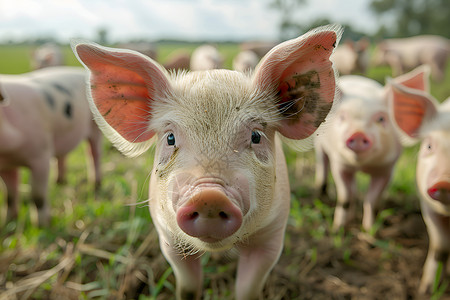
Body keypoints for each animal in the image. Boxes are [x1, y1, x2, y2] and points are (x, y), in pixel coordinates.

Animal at [0, 65, 102, 225]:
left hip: (95, 126)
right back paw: (59, 182)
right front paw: (8, 222)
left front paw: (42, 225)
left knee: (93, 153)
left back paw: (95, 185)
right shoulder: (6, 166)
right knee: (63, 156)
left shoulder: (41, 156)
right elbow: (9, 197)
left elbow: (38, 196)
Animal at [72, 24, 342, 300]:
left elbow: (248, 289)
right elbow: (189, 286)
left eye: (256, 136)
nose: (209, 196)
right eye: (170, 138)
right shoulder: (168, 237)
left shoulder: (272, 235)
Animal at [314, 65, 430, 231]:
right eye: (342, 117)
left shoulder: (386, 169)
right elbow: (344, 196)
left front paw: (369, 230)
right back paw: (321, 193)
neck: (362, 165)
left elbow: (372, 200)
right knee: (322, 162)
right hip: (319, 144)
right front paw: (338, 228)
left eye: (380, 118)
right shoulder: (340, 163)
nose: (358, 133)